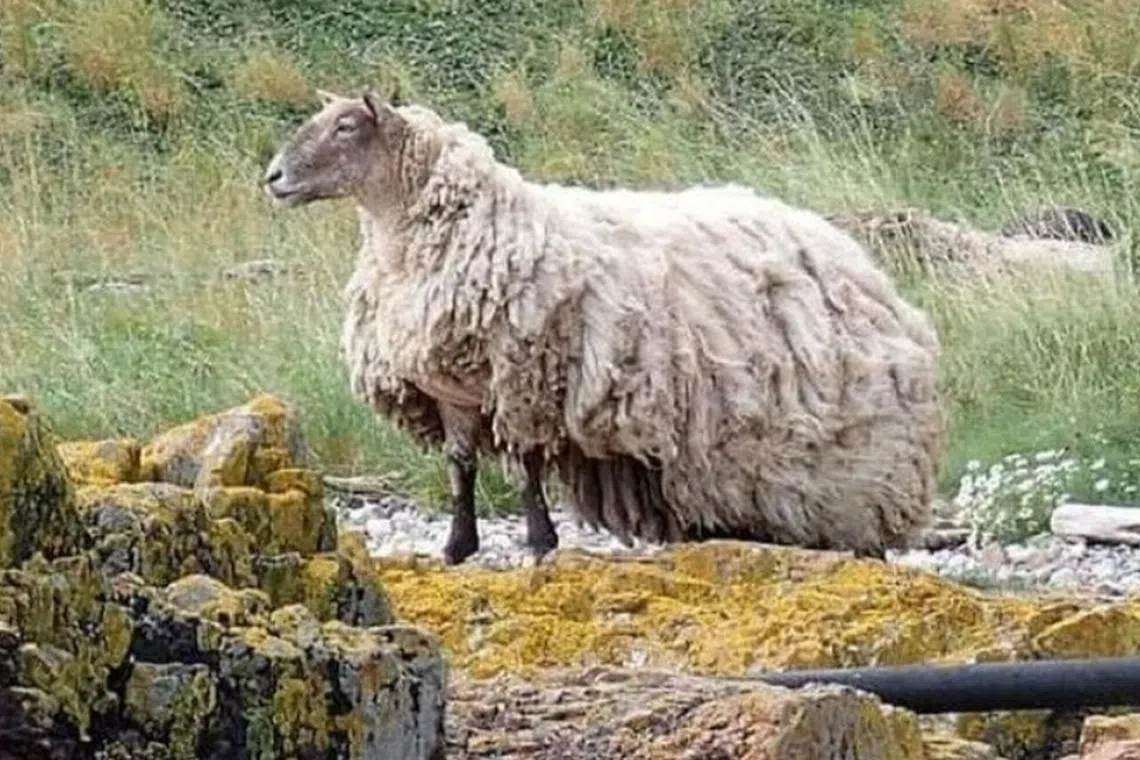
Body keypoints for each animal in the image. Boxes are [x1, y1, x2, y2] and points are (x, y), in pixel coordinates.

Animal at [262, 90, 946, 566]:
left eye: (346, 126)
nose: (273, 177)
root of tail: (865, 268)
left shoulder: (523, 377)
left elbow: (526, 466)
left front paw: (541, 543)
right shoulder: (450, 389)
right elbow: (460, 468)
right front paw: (457, 547)